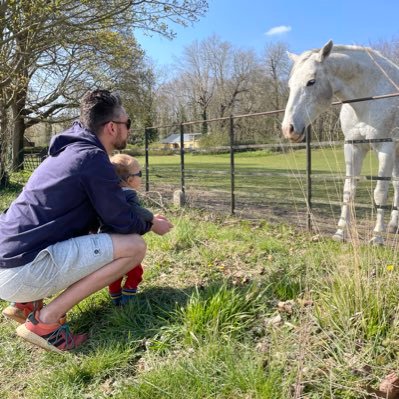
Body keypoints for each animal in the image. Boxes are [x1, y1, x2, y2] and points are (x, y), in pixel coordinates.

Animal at [282, 42, 399, 245]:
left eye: (311, 81)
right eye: (290, 85)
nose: (288, 129)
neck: (371, 95)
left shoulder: (386, 147)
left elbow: (380, 192)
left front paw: (377, 237)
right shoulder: (352, 146)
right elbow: (348, 190)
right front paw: (340, 233)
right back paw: (392, 226)